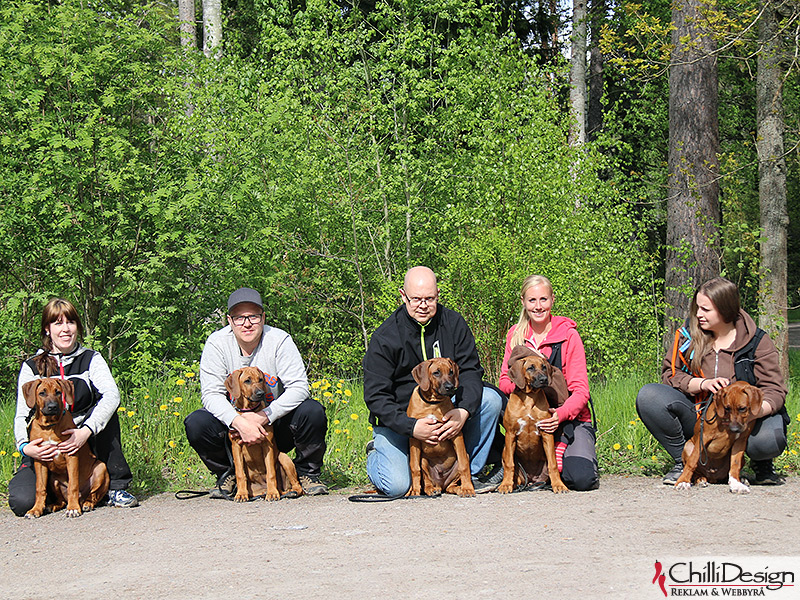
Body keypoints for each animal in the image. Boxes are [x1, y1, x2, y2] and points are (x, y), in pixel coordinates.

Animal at [22, 380, 109, 516]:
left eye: (58, 392)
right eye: (42, 393)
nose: (52, 407)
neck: (50, 427)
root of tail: (81, 498)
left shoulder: (71, 455)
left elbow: (73, 485)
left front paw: (73, 508)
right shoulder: (39, 459)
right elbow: (40, 487)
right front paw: (36, 509)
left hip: (101, 468)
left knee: (93, 495)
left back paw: (86, 504)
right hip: (53, 479)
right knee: (61, 500)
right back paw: (52, 506)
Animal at [225, 366, 304, 502]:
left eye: (260, 379)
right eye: (247, 381)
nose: (260, 393)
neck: (249, 410)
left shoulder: (267, 445)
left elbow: (270, 472)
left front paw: (272, 493)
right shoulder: (236, 446)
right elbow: (240, 474)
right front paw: (241, 494)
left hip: (283, 458)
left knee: (297, 485)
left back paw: (287, 492)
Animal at [406, 356, 476, 496]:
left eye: (451, 372)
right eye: (436, 373)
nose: (450, 387)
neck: (432, 403)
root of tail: (441, 484)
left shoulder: (455, 432)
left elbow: (464, 465)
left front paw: (468, 488)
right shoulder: (414, 437)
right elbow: (414, 467)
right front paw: (415, 490)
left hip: (462, 459)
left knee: (451, 485)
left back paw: (459, 489)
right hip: (424, 461)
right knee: (427, 479)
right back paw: (431, 489)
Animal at [500, 344, 568, 494]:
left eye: (544, 367)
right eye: (530, 368)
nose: (544, 379)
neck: (529, 397)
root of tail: (531, 480)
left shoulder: (547, 433)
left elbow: (553, 464)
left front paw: (559, 485)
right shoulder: (510, 434)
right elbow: (509, 464)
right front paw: (505, 484)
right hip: (505, 451)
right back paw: (512, 484)